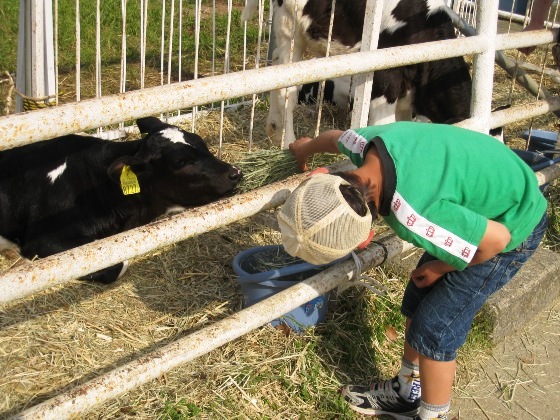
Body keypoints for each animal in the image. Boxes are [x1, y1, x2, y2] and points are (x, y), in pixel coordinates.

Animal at [242, 0, 472, 146]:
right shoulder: (386, 75)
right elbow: (383, 122)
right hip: (290, 27)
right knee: (287, 89)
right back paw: (287, 142)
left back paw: (273, 130)